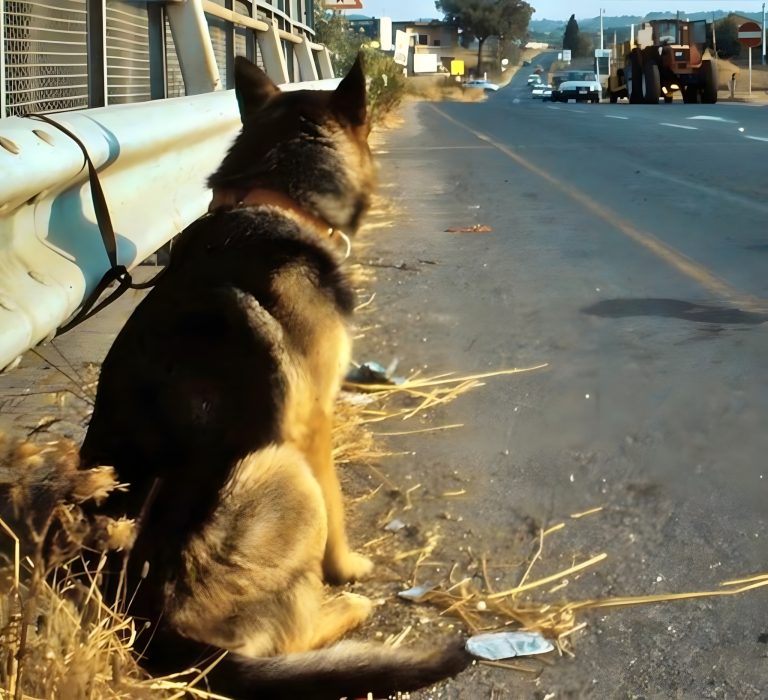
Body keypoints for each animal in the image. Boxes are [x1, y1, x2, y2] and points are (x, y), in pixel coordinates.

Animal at [81, 56, 472, 700]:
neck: (276, 200)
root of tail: (158, 633)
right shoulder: (313, 419)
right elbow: (337, 510)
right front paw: (347, 568)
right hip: (282, 469)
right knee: (284, 633)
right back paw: (347, 609)